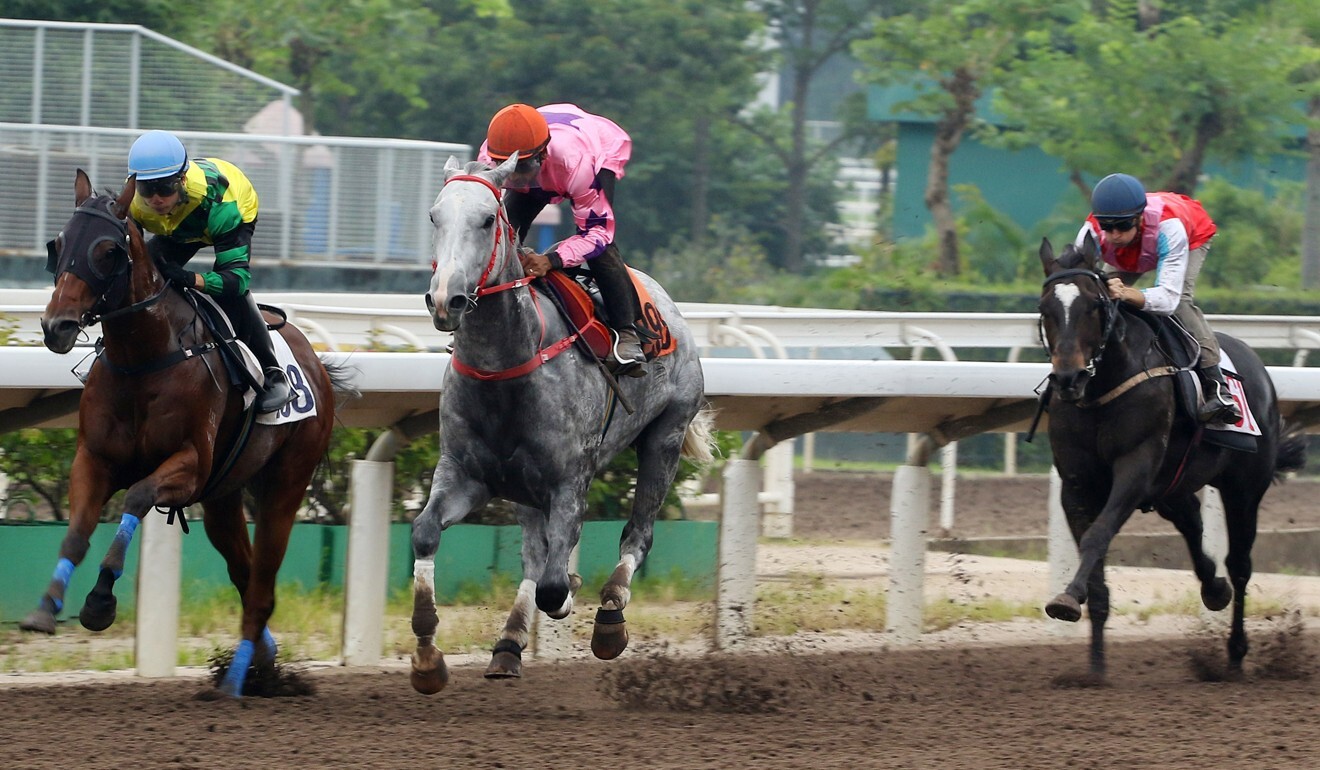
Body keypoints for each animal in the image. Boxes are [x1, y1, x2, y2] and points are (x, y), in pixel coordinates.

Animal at [21, 169, 351, 697]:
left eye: (107, 251)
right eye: (58, 243)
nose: (57, 326)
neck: (144, 358)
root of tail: (317, 363)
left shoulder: (190, 465)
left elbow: (137, 497)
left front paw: (100, 601)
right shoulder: (93, 459)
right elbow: (75, 534)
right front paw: (45, 609)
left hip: (286, 481)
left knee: (261, 587)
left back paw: (236, 682)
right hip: (222, 497)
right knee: (244, 575)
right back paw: (260, 667)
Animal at [409, 155, 712, 692]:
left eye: (487, 220)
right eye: (434, 217)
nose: (446, 300)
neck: (506, 367)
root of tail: (666, 303)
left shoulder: (570, 480)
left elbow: (555, 583)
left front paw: (573, 589)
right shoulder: (464, 473)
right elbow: (425, 532)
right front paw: (427, 656)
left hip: (667, 435)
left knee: (637, 534)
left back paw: (610, 615)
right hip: (523, 486)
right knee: (534, 553)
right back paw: (508, 645)